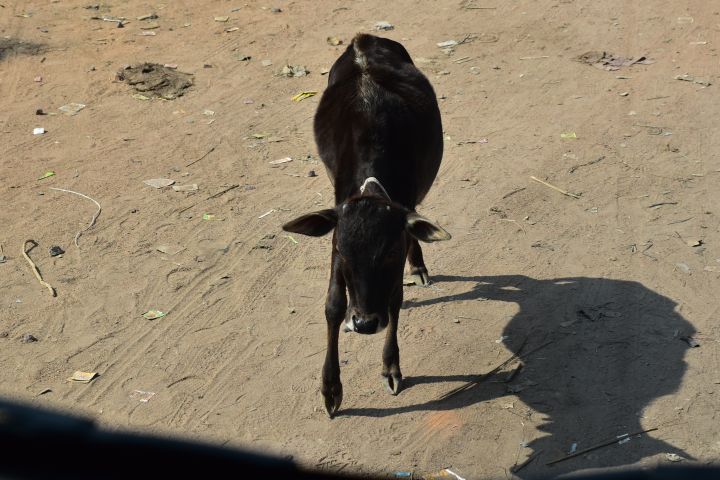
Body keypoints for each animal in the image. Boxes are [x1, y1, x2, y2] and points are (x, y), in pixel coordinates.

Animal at [282, 33, 448, 416]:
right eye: (344, 253)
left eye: (388, 254)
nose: (364, 323)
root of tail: (364, 39)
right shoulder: (336, 231)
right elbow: (332, 304)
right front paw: (330, 389)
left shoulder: (399, 233)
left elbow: (395, 298)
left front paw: (391, 367)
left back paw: (419, 266)